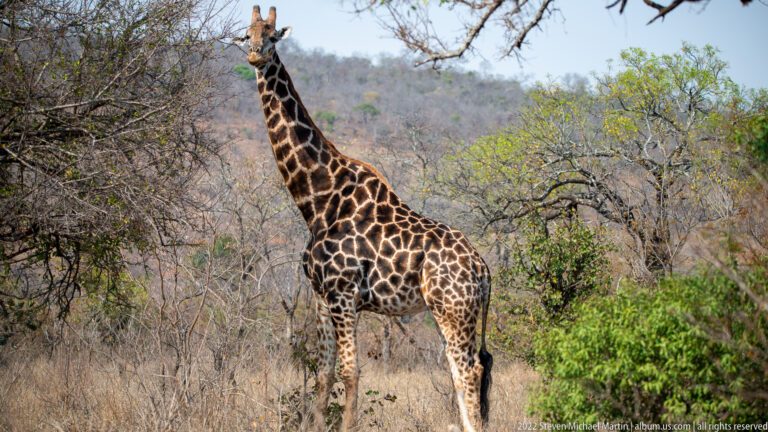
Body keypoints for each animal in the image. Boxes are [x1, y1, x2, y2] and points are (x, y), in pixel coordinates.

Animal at [236, 6, 493, 431]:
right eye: (246, 34)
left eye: (273, 36)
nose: (256, 55)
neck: (316, 200)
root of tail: (482, 267)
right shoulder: (321, 296)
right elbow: (324, 373)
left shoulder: (343, 294)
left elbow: (350, 372)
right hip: (458, 311)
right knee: (471, 369)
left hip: (453, 310)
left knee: (468, 371)